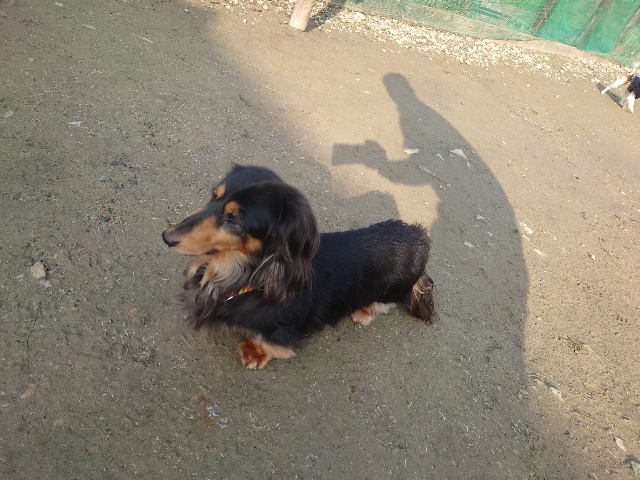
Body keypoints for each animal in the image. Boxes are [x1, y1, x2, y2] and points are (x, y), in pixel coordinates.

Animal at [162, 165, 434, 369]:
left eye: (234, 219)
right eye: (213, 196)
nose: (166, 237)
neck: (250, 280)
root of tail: (419, 236)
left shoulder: (285, 334)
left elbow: (268, 343)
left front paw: (254, 352)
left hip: (393, 289)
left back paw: (365, 311)